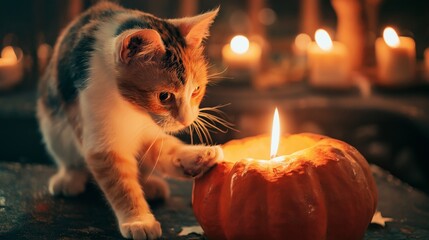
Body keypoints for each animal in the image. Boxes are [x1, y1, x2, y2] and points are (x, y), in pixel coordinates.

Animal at [37, 1, 222, 238]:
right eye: (164, 96)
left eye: (196, 90)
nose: (186, 120)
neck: (133, 109)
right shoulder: (96, 120)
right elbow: (120, 179)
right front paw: (139, 221)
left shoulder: (150, 129)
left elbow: (163, 147)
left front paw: (196, 157)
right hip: (53, 128)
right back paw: (69, 178)